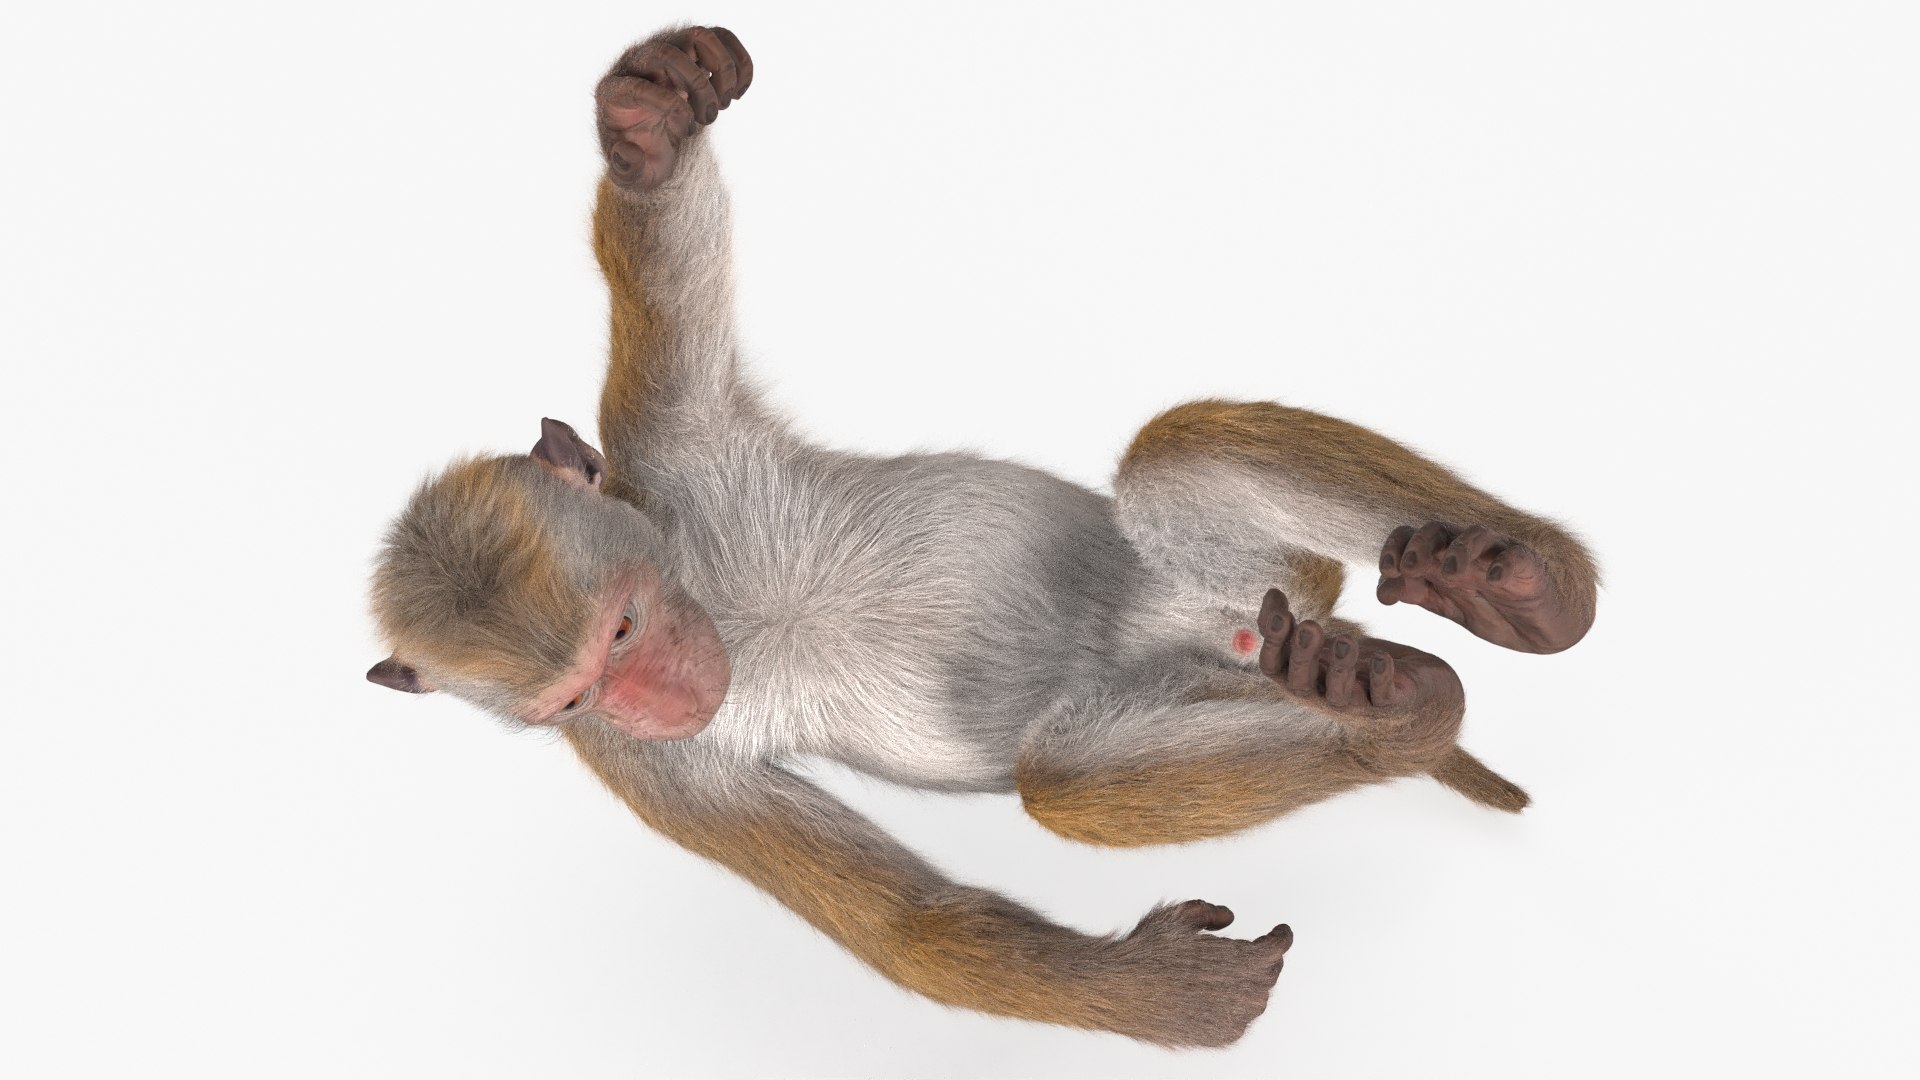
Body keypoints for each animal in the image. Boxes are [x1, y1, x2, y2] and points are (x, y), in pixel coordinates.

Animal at [365, 26, 1597, 1049]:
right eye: (573, 699)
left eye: (623, 631)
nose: (661, 700)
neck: (719, 600)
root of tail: (1232, 628)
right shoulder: (649, 770)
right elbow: (919, 929)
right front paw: (1155, 993)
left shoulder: (665, 453)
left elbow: (666, 278)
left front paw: (647, 130)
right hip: (1221, 669)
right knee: (1065, 779)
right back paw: (1389, 717)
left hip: (1251, 579)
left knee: (1174, 457)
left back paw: (1527, 599)